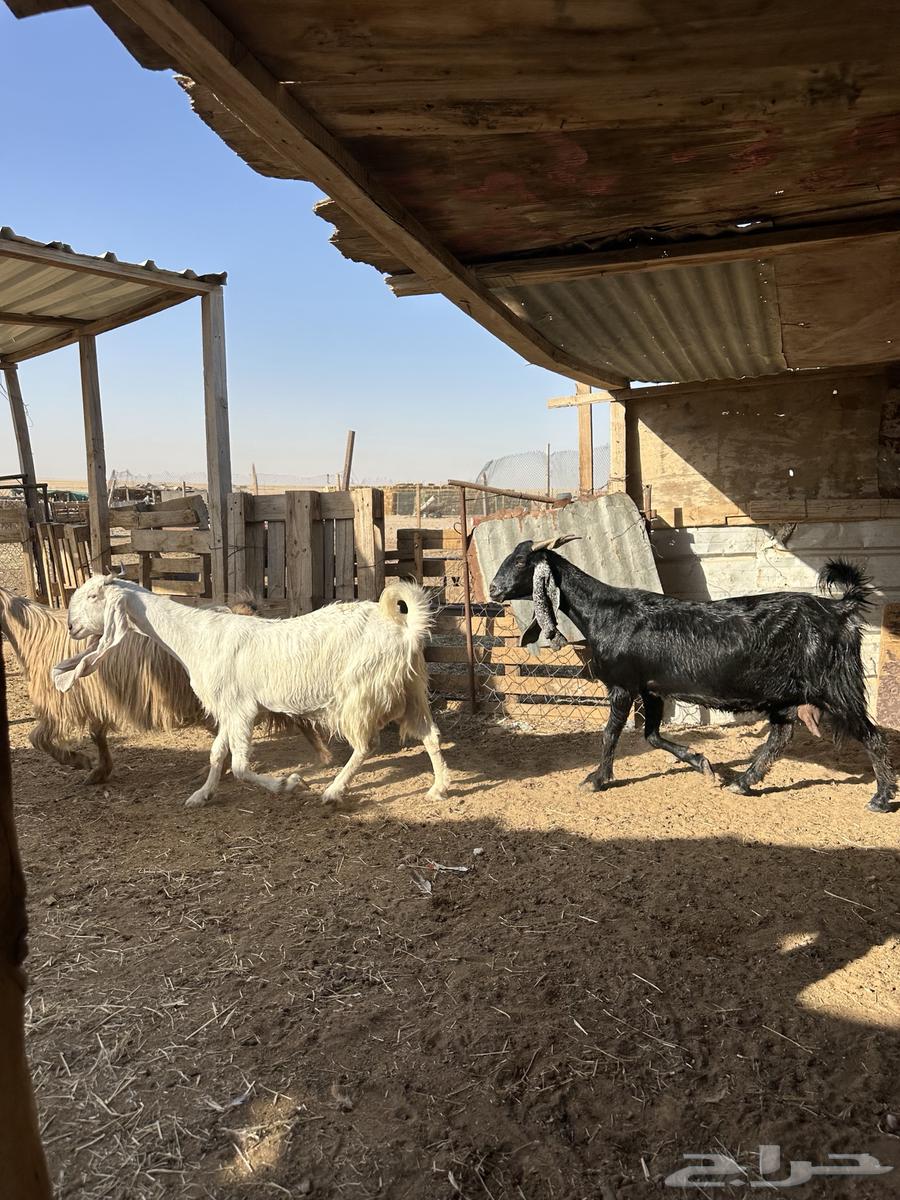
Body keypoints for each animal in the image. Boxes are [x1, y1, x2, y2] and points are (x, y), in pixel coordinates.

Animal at [0, 587, 332, 784]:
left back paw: (322, 754)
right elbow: (97, 735)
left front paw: (79, 761)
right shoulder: (95, 700)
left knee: (289, 714)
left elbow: (37, 738)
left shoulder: (59, 707)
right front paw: (99, 769)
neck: (35, 634)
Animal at [53, 576, 449, 809]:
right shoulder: (227, 709)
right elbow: (217, 754)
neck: (193, 636)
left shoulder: (241, 709)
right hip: (412, 691)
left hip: (360, 694)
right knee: (430, 735)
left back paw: (333, 791)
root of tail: (405, 630)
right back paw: (440, 787)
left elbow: (242, 767)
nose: (71, 628)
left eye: (93, 595)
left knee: (367, 745)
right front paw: (201, 795)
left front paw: (288, 784)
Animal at [489, 536, 896, 813]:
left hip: (836, 685)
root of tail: (840, 608)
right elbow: (652, 735)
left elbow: (610, 734)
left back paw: (881, 797)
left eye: (522, 561)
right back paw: (743, 782)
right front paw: (704, 765)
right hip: (785, 694)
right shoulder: (651, 688)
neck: (605, 612)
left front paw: (596, 779)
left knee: (871, 735)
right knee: (781, 735)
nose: (493, 589)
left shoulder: (623, 685)